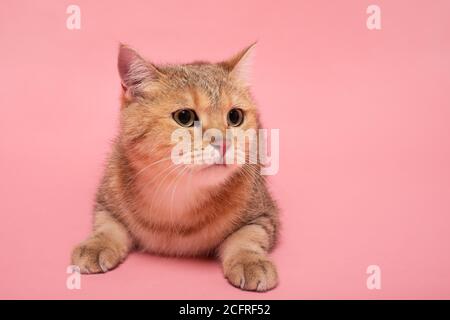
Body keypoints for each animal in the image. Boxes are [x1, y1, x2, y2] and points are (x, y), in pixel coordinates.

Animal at [71, 43, 280, 292]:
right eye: (184, 116)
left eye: (235, 116)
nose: (223, 142)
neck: (179, 196)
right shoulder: (105, 200)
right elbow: (107, 225)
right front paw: (96, 244)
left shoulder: (265, 213)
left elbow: (248, 236)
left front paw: (249, 260)